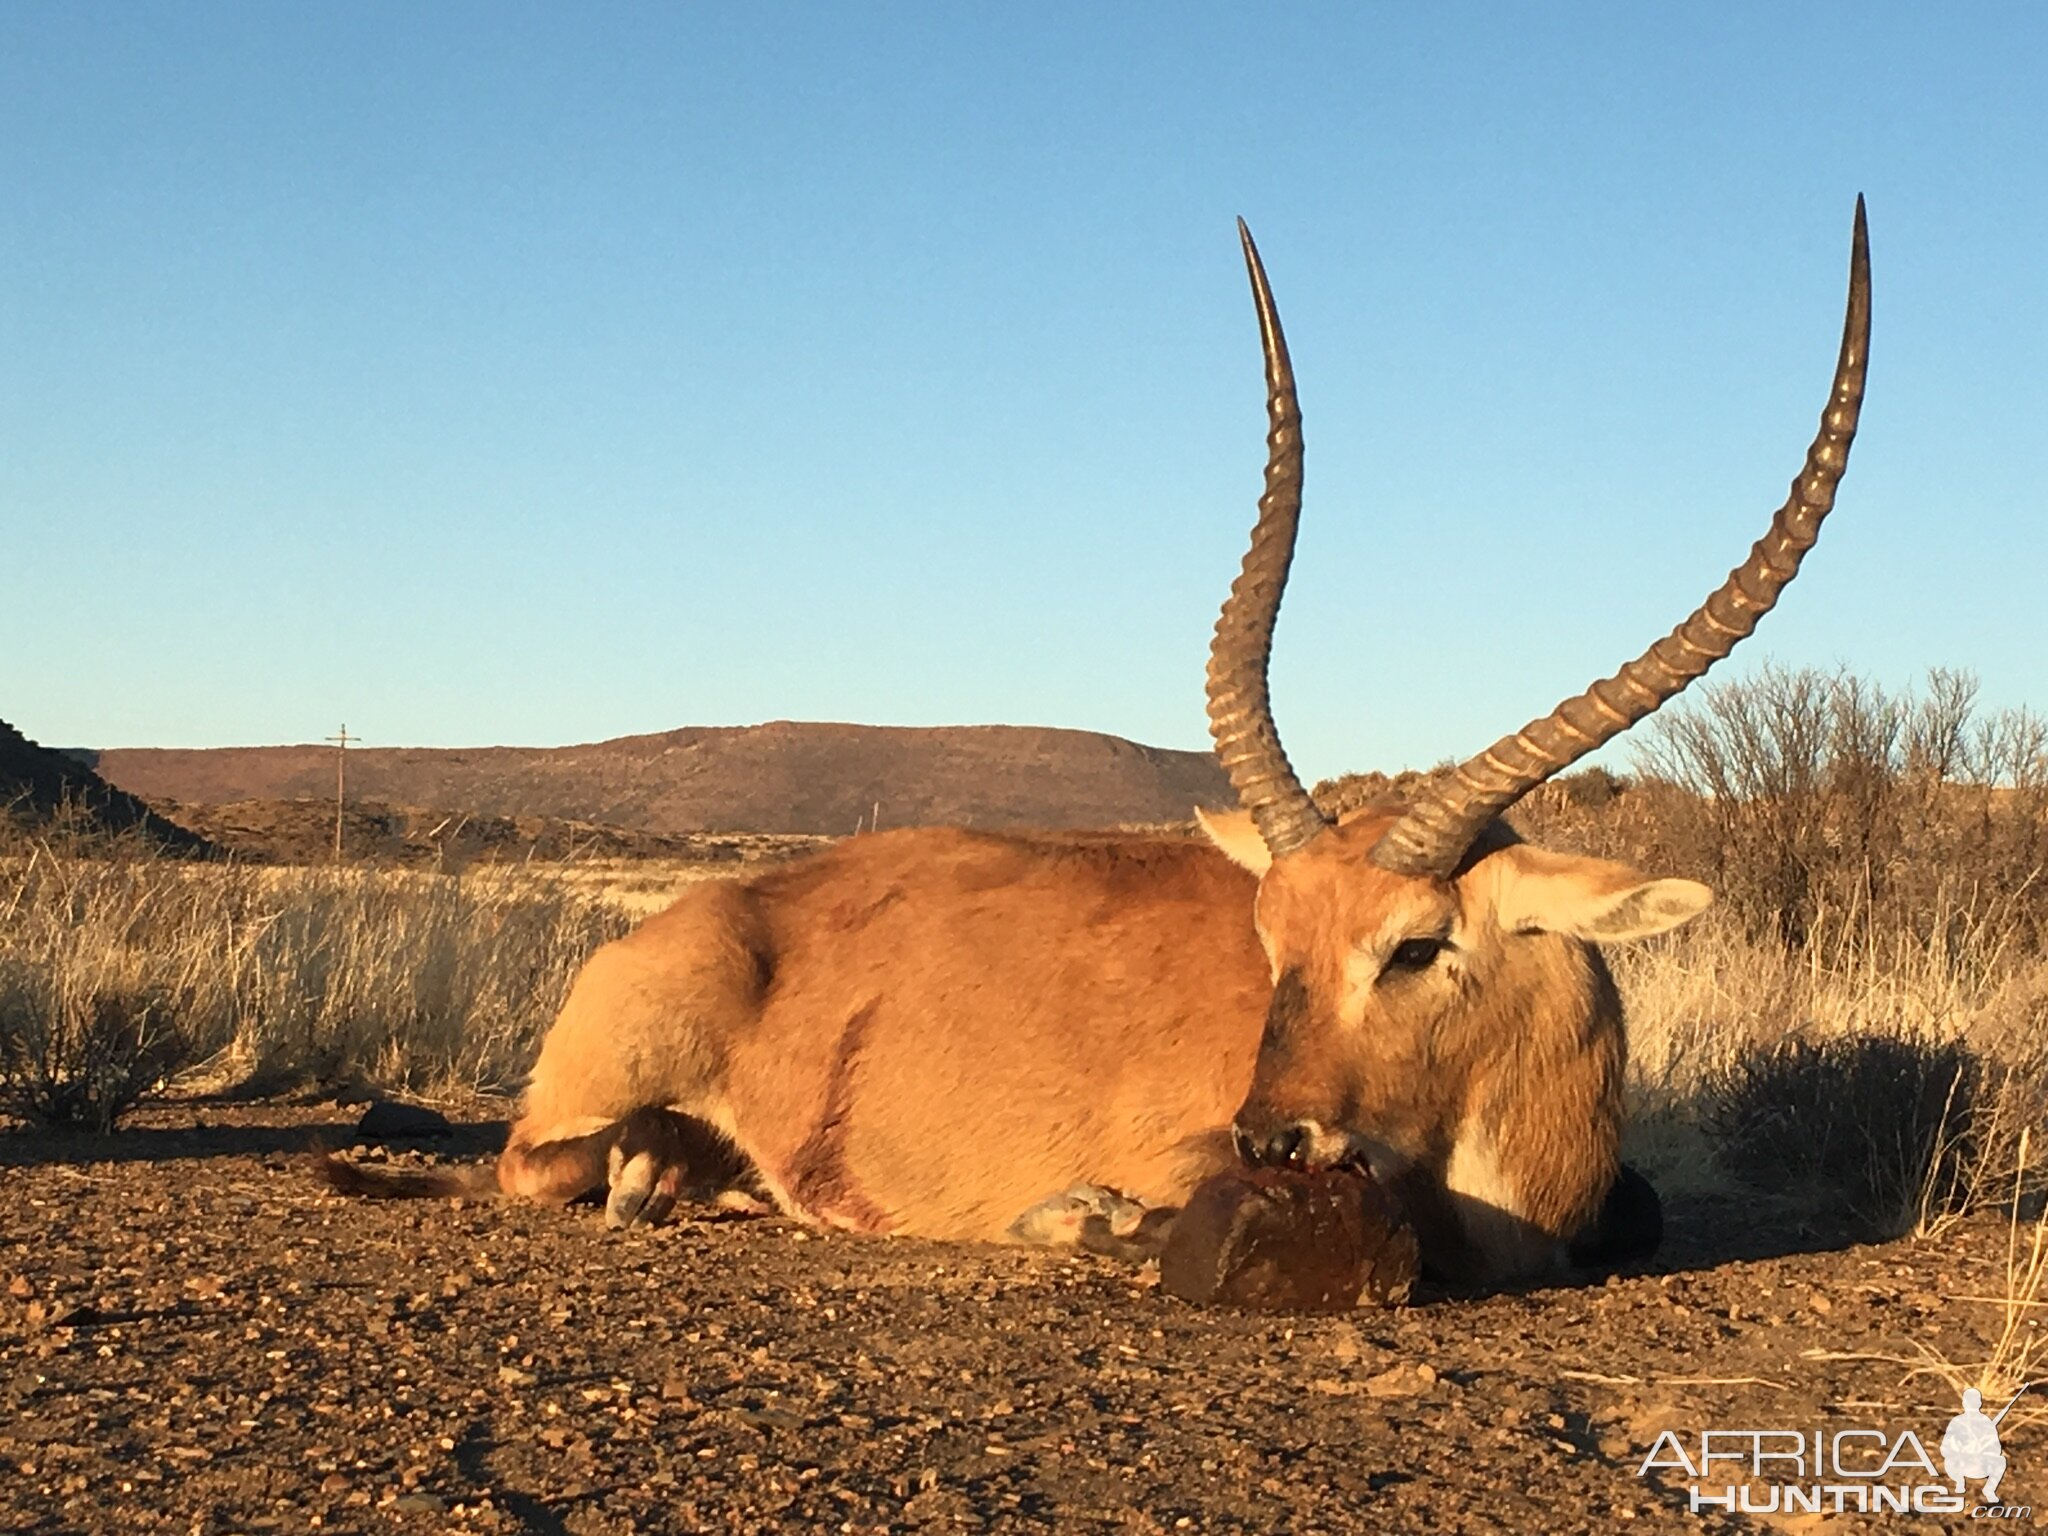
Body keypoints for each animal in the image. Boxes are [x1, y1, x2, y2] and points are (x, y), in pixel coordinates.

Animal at [327, 204, 1875, 1286]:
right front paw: (1084, 1218)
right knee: (537, 1166)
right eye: (1269, 942)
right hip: (582, 1101)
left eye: (1417, 945)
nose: (1274, 1140)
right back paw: (651, 1172)